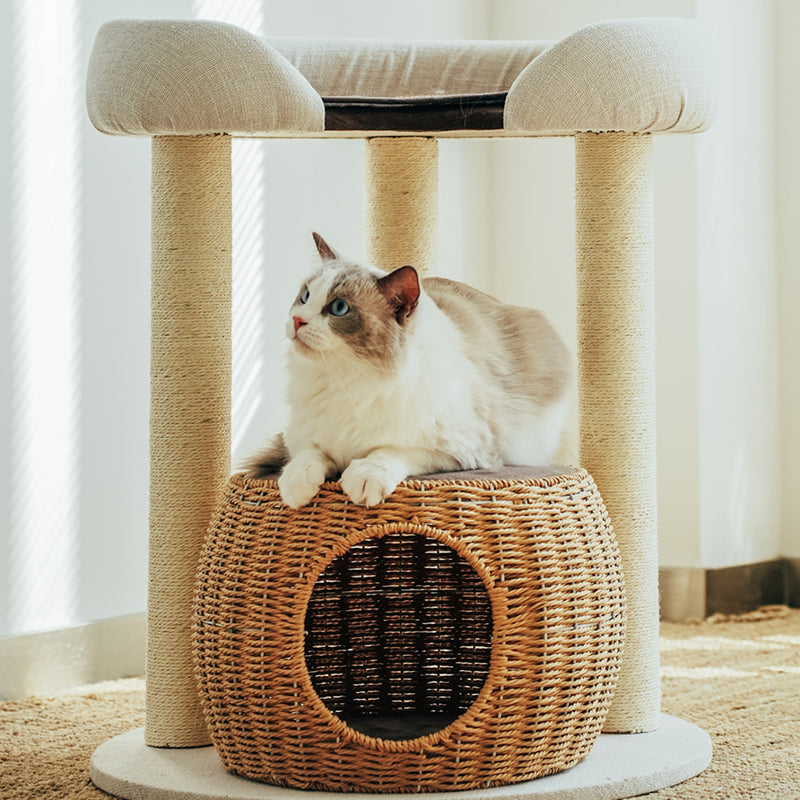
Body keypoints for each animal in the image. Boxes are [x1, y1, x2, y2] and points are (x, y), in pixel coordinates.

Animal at [247, 231, 572, 510]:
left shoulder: (461, 451)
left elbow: (391, 451)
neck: (344, 379)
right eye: (304, 296)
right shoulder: (301, 435)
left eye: (339, 308)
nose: (297, 320)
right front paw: (296, 485)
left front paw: (365, 477)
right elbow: (308, 454)